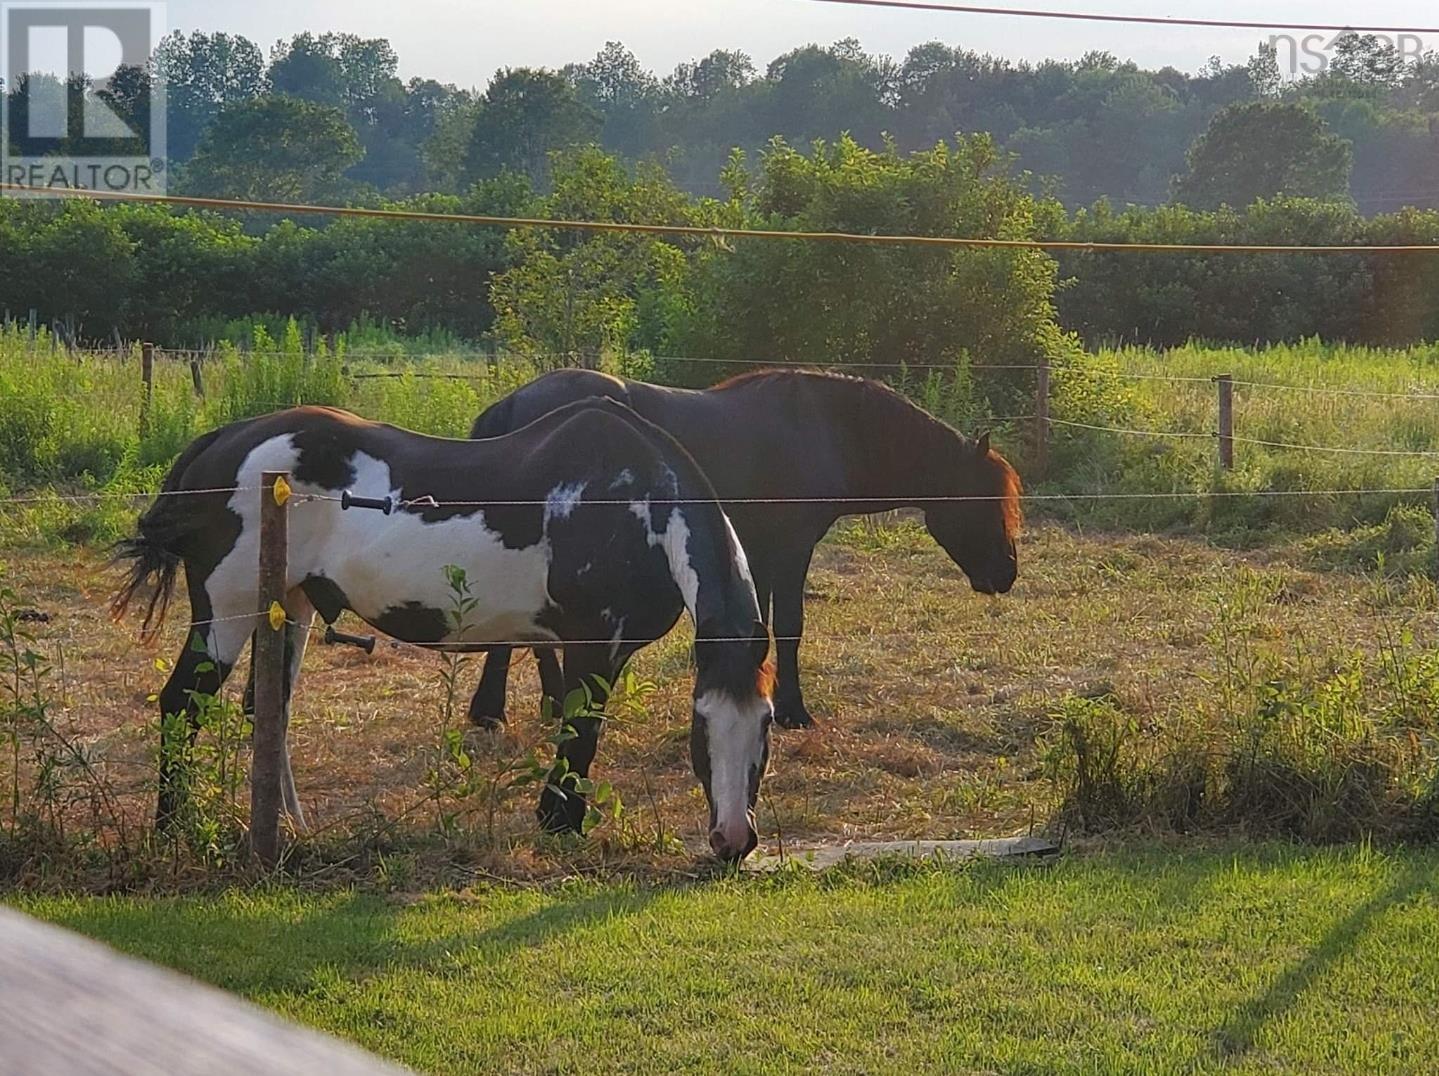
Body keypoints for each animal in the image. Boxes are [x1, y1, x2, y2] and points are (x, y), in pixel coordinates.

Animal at [112, 399, 777, 863]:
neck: (631, 505)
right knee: (181, 704)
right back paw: (172, 830)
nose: (733, 840)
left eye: (767, 724)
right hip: (226, 612)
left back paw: (291, 828)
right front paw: (560, 824)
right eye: (701, 726)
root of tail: (223, 443)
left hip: (289, 607)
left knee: (267, 710)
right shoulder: (591, 647)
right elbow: (580, 735)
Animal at [463, 368, 1024, 730]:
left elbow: (765, 626)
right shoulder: (792, 549)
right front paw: (795, 712)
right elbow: (791, 627)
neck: (826, 430)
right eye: (985, 500)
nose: (1007, 573)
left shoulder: (762, 550)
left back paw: (536, 705)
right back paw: (507, 709)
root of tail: (514, 405)